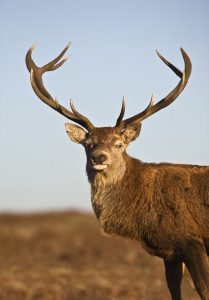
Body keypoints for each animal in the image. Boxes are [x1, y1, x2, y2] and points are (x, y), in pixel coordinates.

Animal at [25, 42, 209, 300]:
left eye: (119, 144)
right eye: (88, 143)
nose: (99, 157)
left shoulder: (192, 239)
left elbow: (203, 289)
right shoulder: (170, 251)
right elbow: (174, 290)